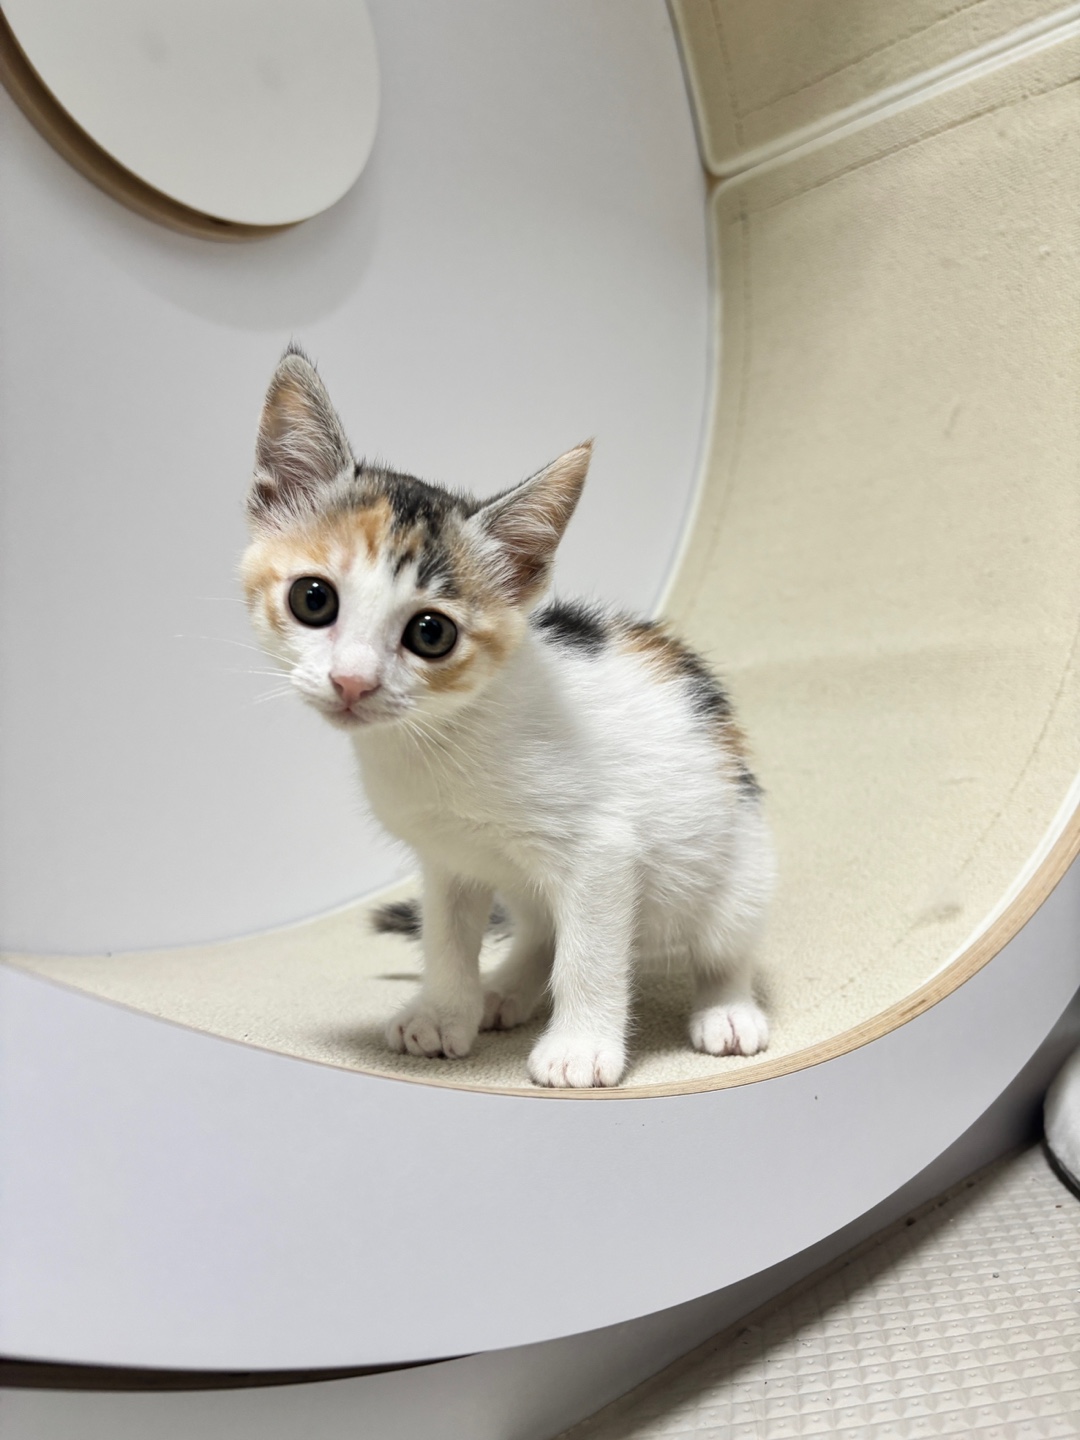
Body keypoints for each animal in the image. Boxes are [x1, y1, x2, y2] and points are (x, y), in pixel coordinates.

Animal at [242, 346, 774, 1088]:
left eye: (431, 634)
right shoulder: (445, 858)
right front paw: (444, 1012)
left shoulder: (603, 849)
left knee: (722, 942)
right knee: (541, 931)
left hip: (739, 859)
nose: (352, 681)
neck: (439, 737)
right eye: (313, 598)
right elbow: (446, 936)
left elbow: (591, 953)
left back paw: (726, 1009)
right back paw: (507, 987)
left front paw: (579, 1048)